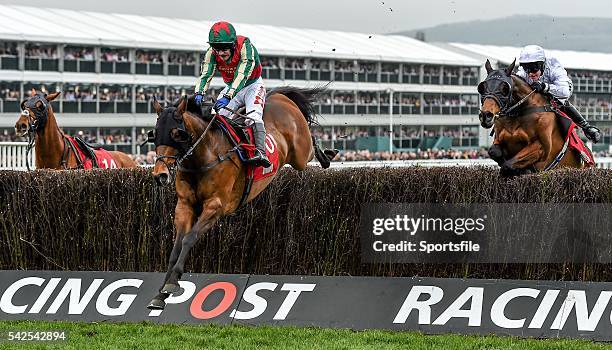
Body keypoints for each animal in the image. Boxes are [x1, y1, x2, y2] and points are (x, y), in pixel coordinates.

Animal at [149, 87, 340, 308]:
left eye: (176, 134)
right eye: (154, 134)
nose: (160, 175)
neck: (206, 154)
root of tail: (279, 96)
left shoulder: (215, 206)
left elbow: (190, 239)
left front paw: (172, 282)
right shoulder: (185, 205)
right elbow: (176, 248)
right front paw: (160, 293)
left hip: (300, 155)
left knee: (311, 144)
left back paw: (328, 154)